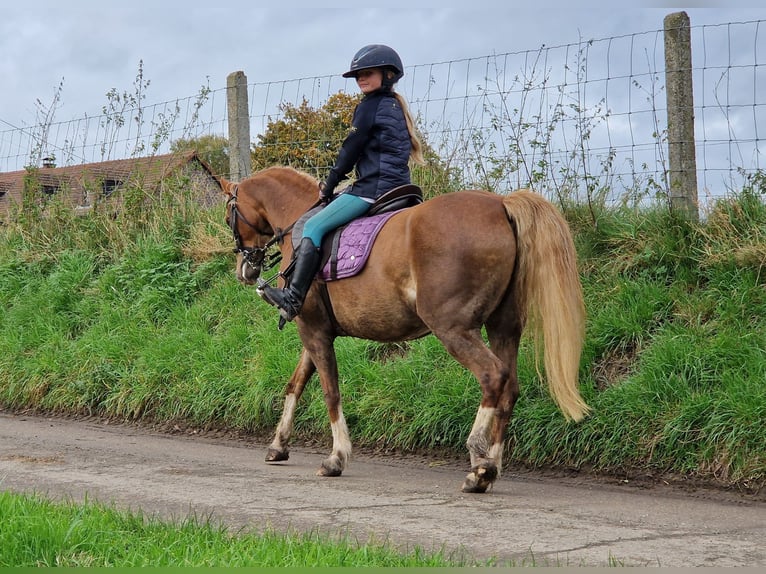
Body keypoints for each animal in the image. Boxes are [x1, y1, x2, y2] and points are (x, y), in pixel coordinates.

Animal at [219, 166, 592, 496]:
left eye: (228, 217)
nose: (244, 270)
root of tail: (501, 204)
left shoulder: (313, 331)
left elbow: (330, 392)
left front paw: (336, 458)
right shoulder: (315, 331)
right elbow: (295, 384)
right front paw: (278, 445)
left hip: (453, 328)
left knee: (493, 377)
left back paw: (478, 463)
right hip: (503, 327)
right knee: (510, 388)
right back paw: (490, 466)